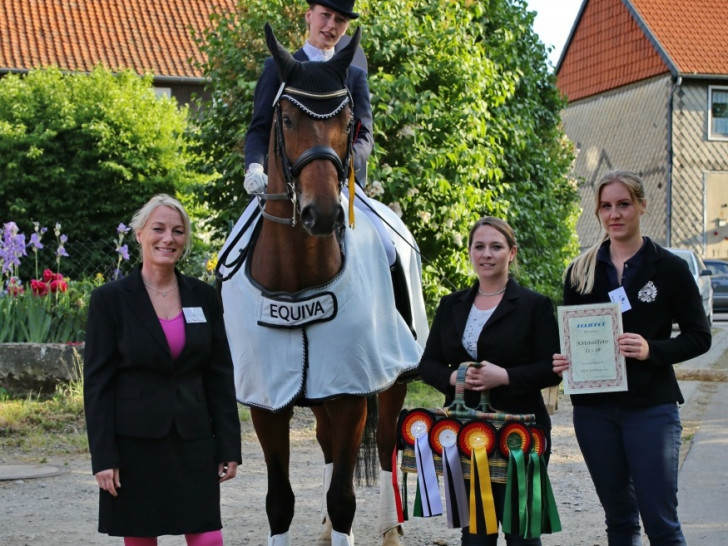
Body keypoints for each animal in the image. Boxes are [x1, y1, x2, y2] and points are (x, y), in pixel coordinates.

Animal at [216, 24, 426, 544]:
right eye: (287, 118)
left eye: (349, 120)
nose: (323, 213)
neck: (297, 278)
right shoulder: (269, 402)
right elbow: (279, 500)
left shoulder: (351, 393)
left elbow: (344, 496)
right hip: (321, 393)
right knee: (329, 445)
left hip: (390, 379)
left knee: (387, 445)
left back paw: (390, 528)